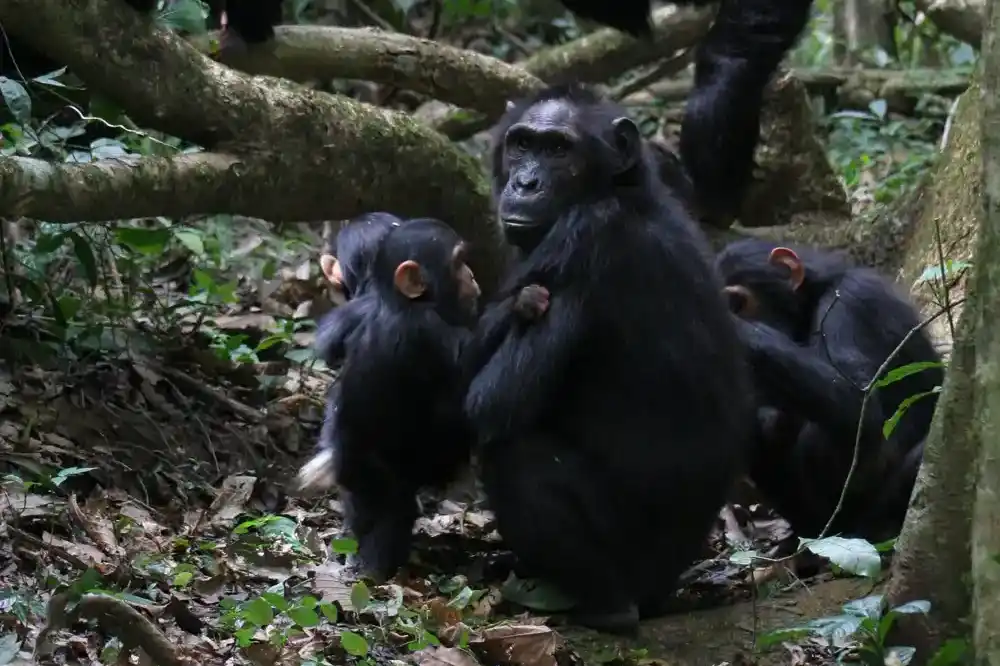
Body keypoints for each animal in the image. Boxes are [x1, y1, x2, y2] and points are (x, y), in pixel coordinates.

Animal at [468, 83, 752, 632]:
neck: (618, 191)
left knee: (516, 455)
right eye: (522, 144)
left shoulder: (581, 239)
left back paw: (605, 605)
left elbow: (488, 401)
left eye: (559, 150)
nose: (526, 181)